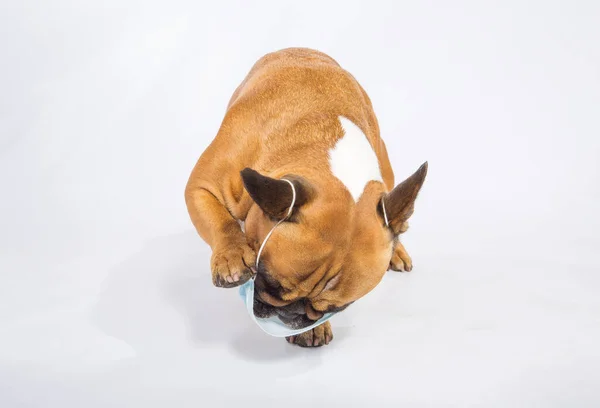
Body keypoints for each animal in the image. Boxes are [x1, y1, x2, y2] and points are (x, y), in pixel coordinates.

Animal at [184, 47, 426, 348]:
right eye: (269, 281)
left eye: (335, 308)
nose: (290, 314)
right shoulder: (202, 187)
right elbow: (222, 223)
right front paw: (232, 256)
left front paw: (312, 329)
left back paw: (397, 249)